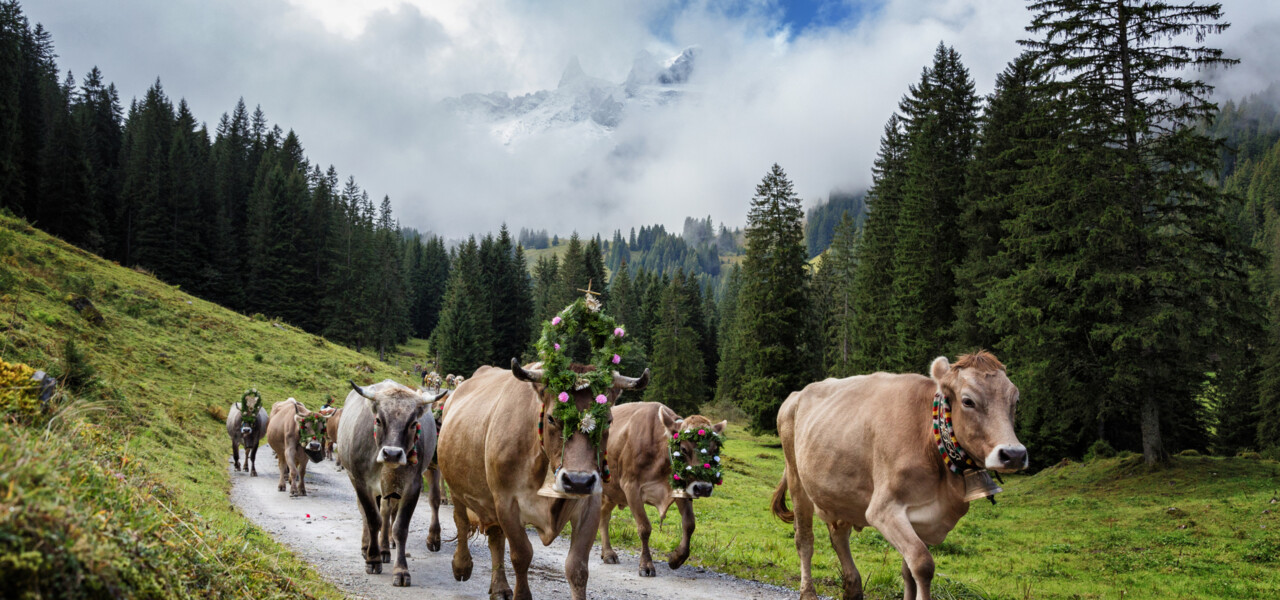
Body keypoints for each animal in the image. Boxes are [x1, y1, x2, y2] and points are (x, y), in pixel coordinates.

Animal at [440, 360, 650, 598]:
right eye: (551, 418)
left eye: (608, 421)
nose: (578, 481)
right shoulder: (506, 502)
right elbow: (521, 555)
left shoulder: (590, 505)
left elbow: (577, 568)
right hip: (456, 487)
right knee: (461, 521)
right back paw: (462, 566)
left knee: (495, 537)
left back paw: (500, 587)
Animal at [596, 401, 727, 575]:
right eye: (683, 449)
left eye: (714, 450)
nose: (703, 488)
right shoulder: (631, 487)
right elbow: (644, 528)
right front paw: (646, 565)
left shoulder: (682, 488)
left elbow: (689, 524)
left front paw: (676, 558)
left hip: (612, 491)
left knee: (603, 515)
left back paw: (608, 553)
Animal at [768, 350, 1029, 598]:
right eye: (968, 401)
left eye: (1015, 400)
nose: (1014, 454)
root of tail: (797, 394)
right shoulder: (884, 509)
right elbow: (923, 564)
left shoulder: (924, 517)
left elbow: (909, 571)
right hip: (796, 477)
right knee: (804, 540)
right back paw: (808, 593)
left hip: (839, 494)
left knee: (838, 535)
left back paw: (853, 589)